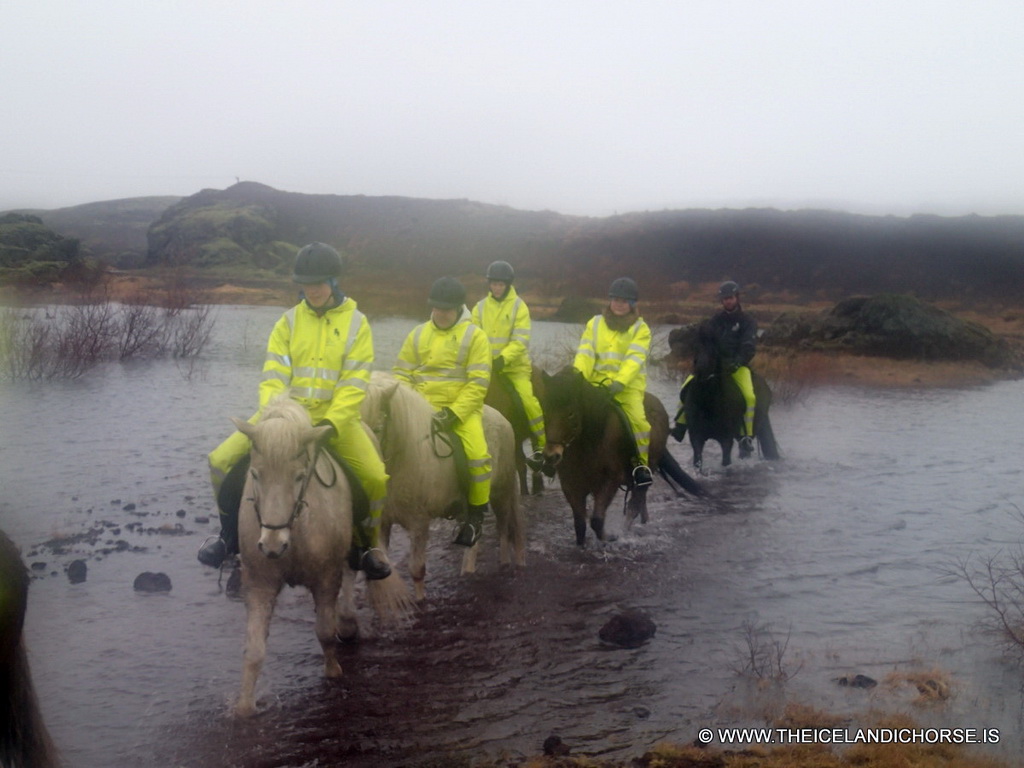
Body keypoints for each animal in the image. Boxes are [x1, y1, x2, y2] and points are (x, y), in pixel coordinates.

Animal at [230, 399, 409, 720]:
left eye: (299, 476)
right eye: (255, 475)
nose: (272, 546)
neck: (296, 532)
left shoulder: (326, 577)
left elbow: (325, 632)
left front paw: (334, 673)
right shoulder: (260, 584)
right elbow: (254, 650)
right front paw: (245, 707)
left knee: (351, 572)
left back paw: (348, 622)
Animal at [360, 372, 524, 602]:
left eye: (377, 429)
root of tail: (502, 419)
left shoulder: (419, 522)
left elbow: (416, 569)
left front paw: (420, 602)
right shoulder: (383, 522)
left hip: (502, 492)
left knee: (503, 529)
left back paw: (505, 564)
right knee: (474, 538)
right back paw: (468, 570)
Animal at [536, 366, 704, 548]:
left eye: (571, 414)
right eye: (544, 410)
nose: (551, 455)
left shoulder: (610, 481)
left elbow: (597, 520)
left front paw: (612, 537)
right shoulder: (571, 485)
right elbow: (580, 524)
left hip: (647, 468)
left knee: (634, 505)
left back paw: (626, 530)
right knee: (640, 503)